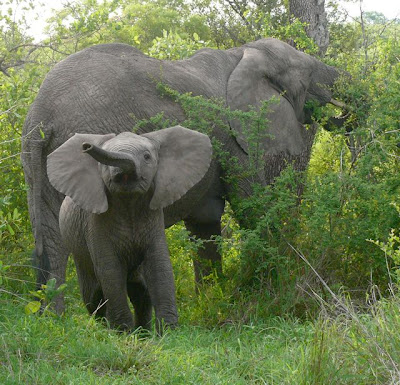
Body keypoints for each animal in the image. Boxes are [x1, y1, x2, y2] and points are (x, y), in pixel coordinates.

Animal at [47, 124, 212, 332]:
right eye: (103, 164)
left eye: (147, 157)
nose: (86, 146)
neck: (128, 199)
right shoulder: (94, 223)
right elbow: (110, 270)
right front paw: (122, 332)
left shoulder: (154, 215)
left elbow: (160, 265)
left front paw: (168, 332)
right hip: (78, 253)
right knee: (93, 296)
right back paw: (106, 328)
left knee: (140, 290)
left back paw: (142, 333)